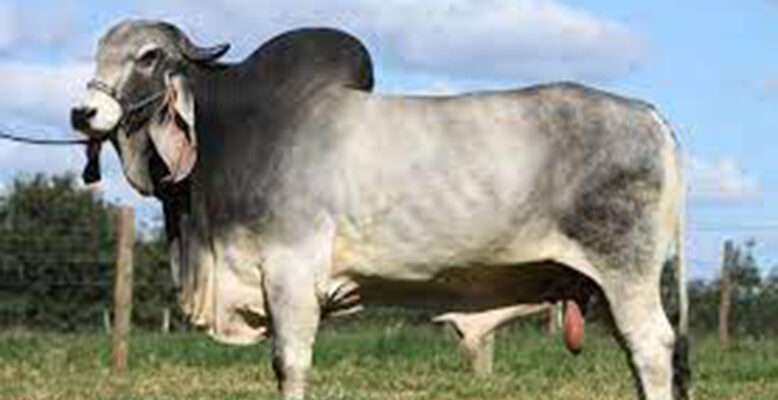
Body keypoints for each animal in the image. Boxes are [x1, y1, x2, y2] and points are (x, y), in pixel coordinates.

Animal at [71, 20, 689, 400]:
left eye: (149, 56)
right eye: (98, 51)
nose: (83, 113)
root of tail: (649, 115)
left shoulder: (291, 274)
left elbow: (289, 363)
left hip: (626, 272)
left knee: (653, 348)